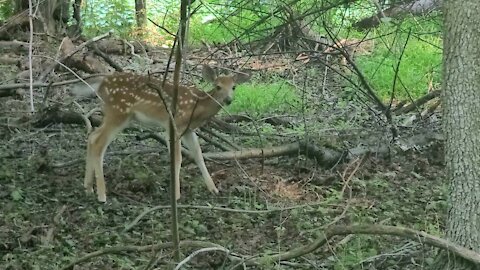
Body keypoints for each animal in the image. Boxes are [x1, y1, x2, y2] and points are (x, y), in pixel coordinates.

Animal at [72, 64, 249, 201]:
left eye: (234, 87)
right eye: (218, 86)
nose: (228, 100)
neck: (196, 107)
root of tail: (101, 82)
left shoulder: (188, 129)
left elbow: (198, 154)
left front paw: (213, 189)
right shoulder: (174, 124)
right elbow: (177, 159)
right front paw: (176, 195)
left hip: (118, 114)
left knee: (92, 136)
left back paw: (88, 188)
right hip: (118, 111)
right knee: (98, 143)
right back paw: (102, 195)